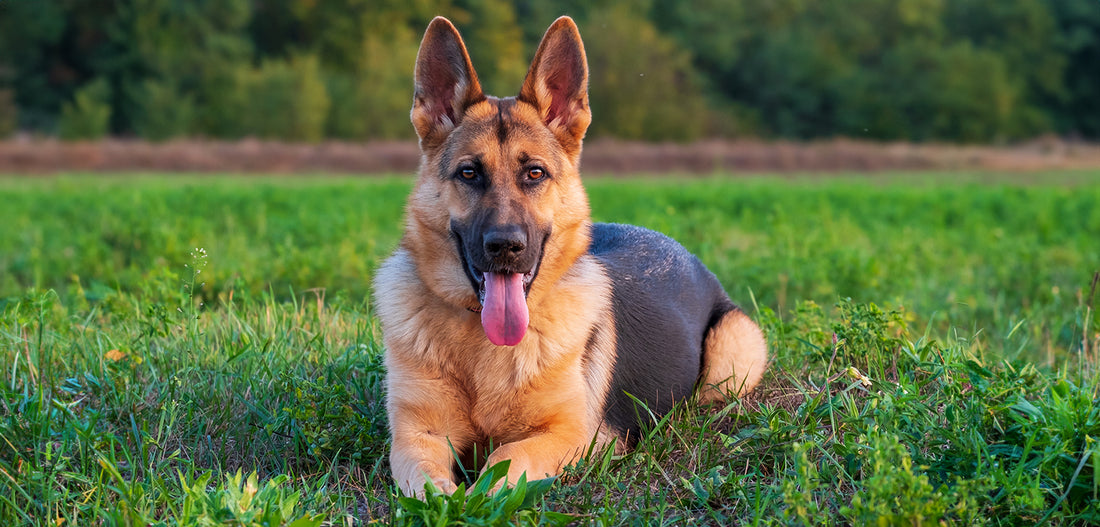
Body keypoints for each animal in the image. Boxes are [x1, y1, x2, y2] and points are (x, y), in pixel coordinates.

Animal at [374, 14, 770, 497]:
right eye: (468, 173)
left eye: (535, 173)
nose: (505, 246)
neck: (481, 346)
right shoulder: (416, 436)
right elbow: (428, 485)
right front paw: (450, 501)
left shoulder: (572, 435)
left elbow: (506, 458)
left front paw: (477, 497)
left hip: (730, 360)